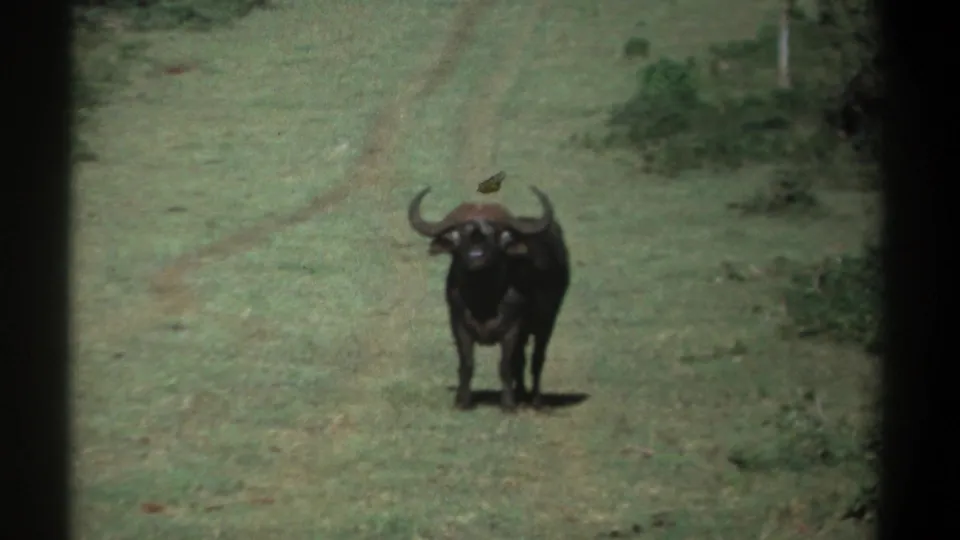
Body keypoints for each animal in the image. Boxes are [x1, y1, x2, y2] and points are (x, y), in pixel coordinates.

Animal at [407, 184, 570, 412]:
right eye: (461, 234)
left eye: (494, 233)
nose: (476, 257)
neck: (483, 298)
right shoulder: (458, 325)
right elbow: (467, 364)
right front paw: (462, 401)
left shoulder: (513, 329)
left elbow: (505, 365)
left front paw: (508, 405)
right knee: (521, 360)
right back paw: (521, 394)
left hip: (547, 321)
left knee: (537, 359)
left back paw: (536, 401)